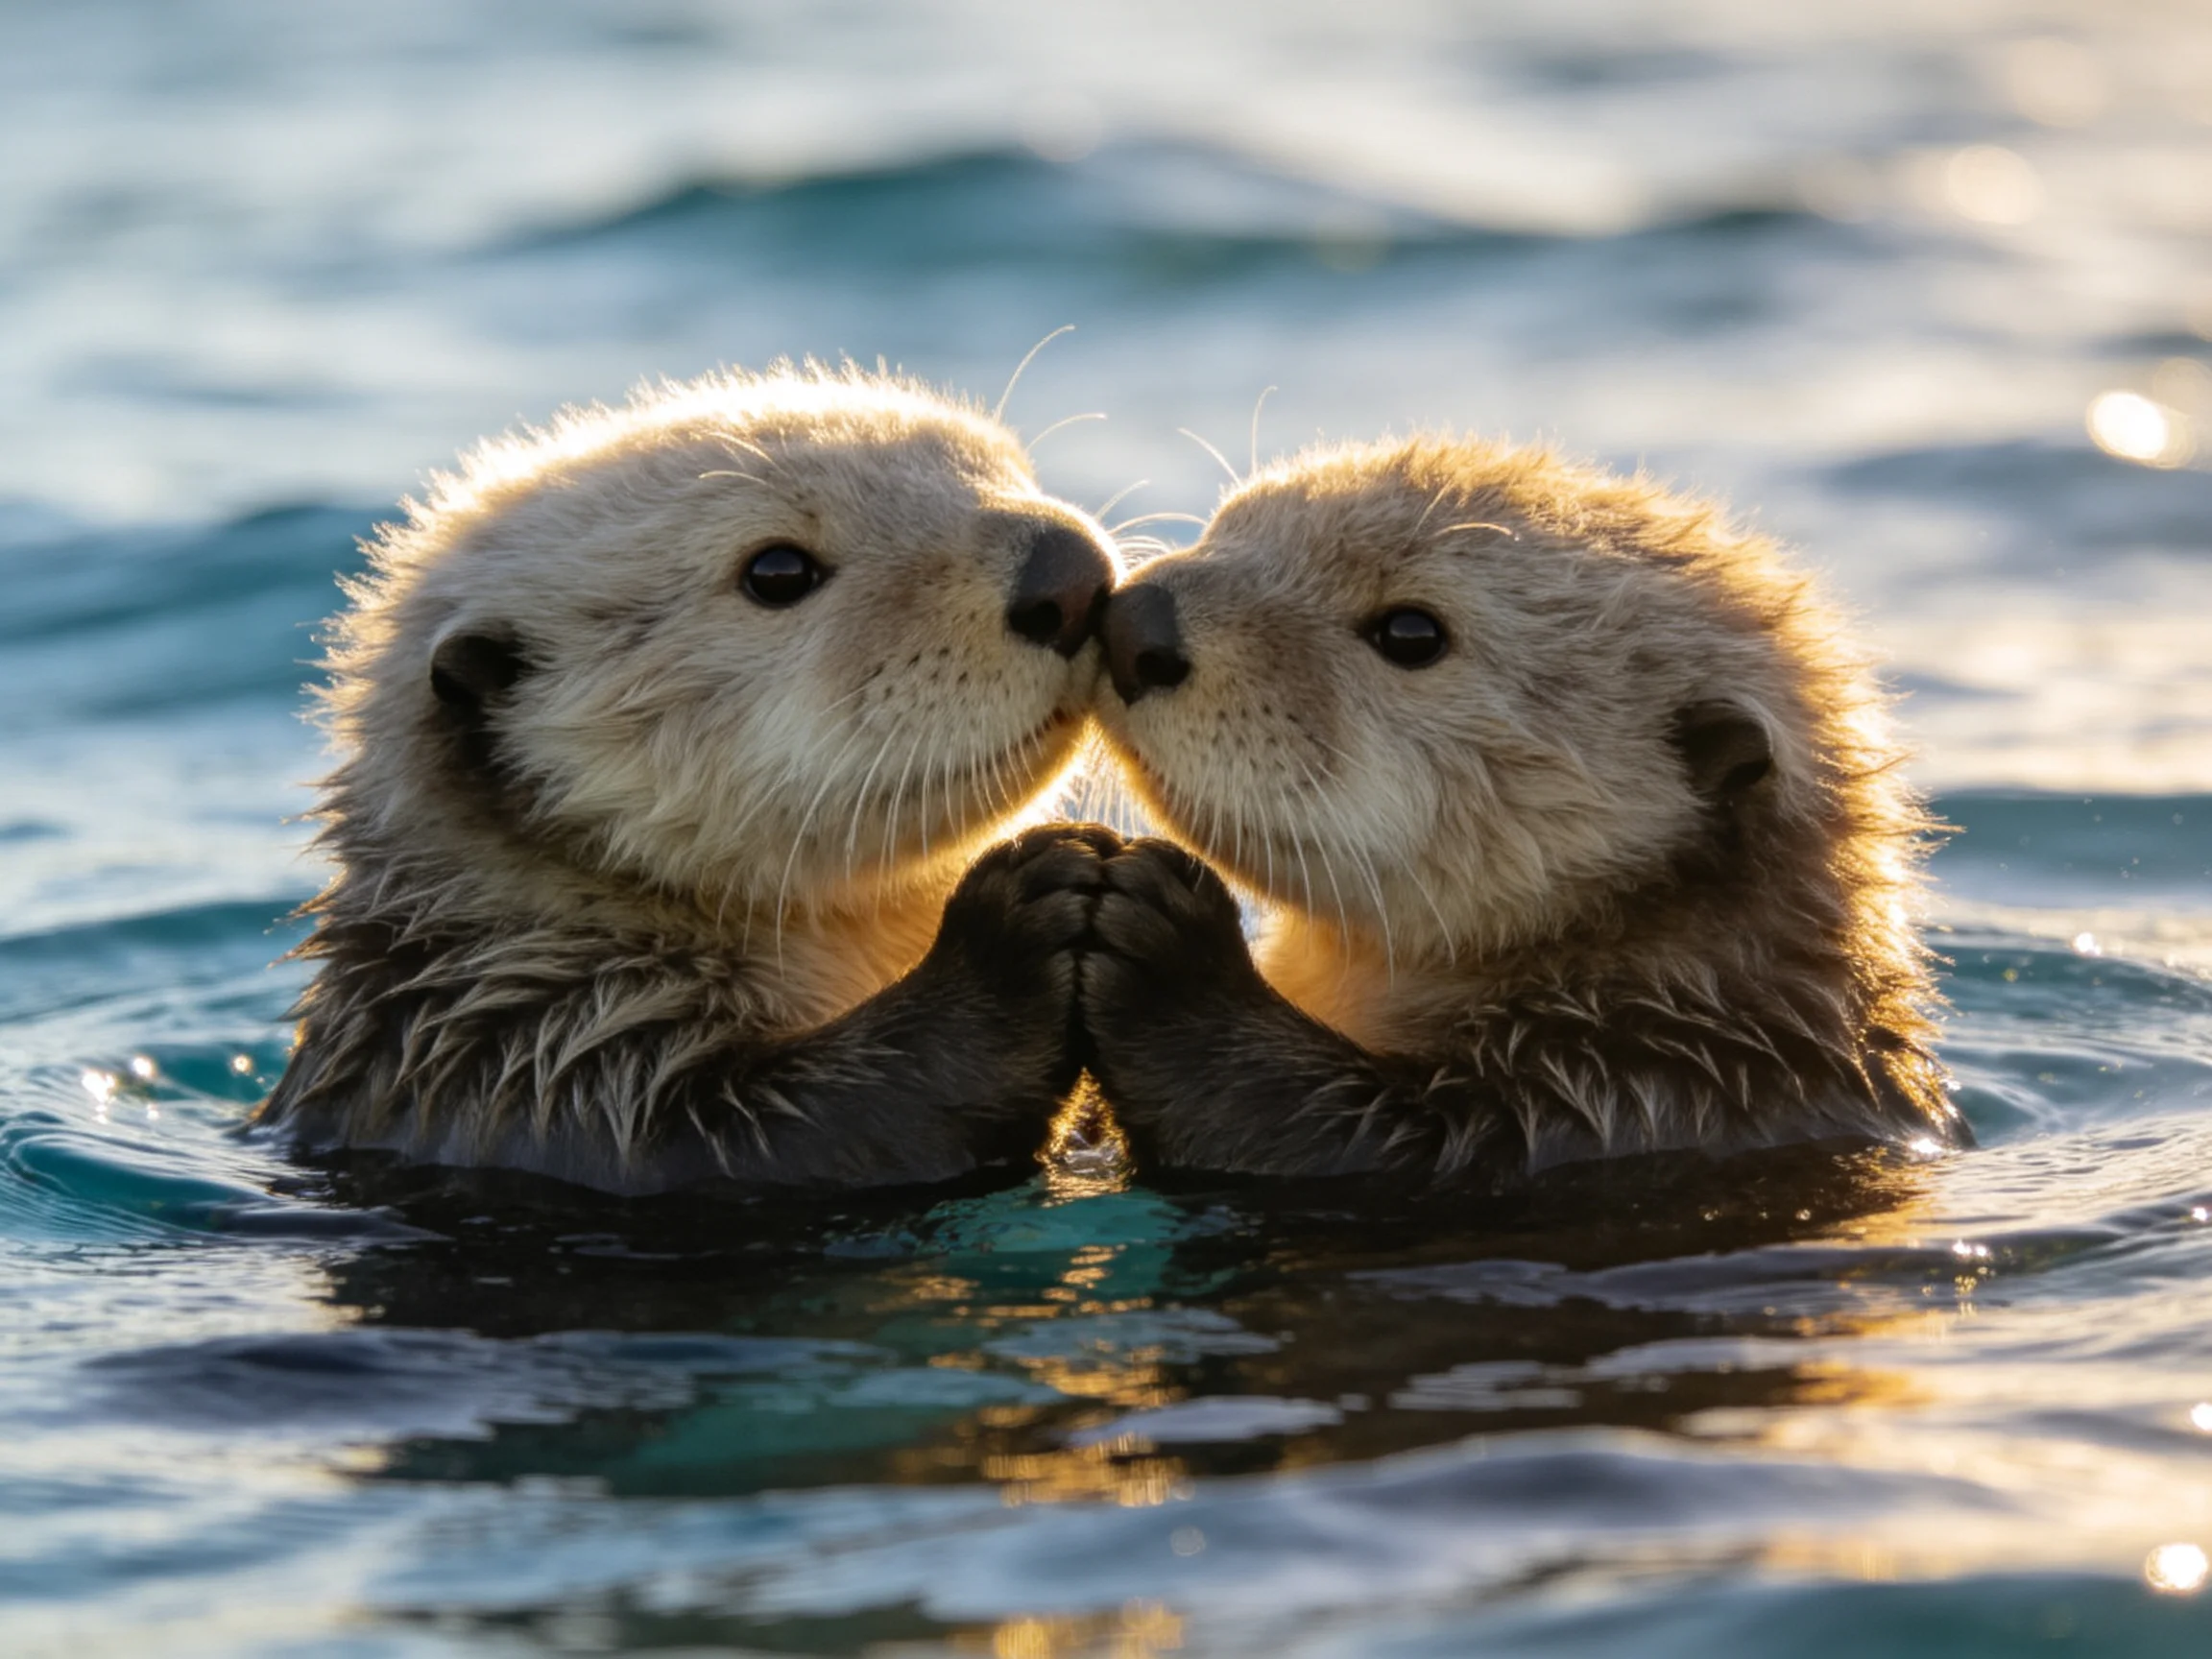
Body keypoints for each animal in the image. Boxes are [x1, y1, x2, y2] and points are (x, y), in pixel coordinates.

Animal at [256, 366, 1123, 1194]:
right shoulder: (547, 1089)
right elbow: (826, 1124)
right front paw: (1035, 906)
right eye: (777, 570)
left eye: (998, 467)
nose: (1070, 572)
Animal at [1080, 434, 1966, 1185]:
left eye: (1411, 632)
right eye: (1230, 522)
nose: (1134, 620)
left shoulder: (1623, 1102)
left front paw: (1157, 935)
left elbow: (1321, 1130)